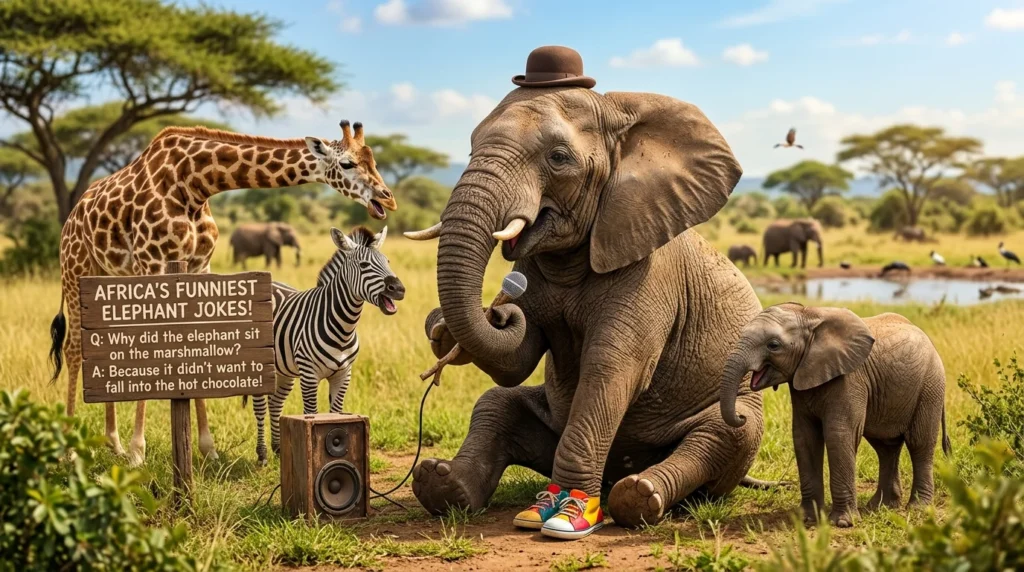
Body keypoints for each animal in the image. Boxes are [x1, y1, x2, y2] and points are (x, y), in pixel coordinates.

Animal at [404, 86, 770, 529]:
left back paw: (639, 495)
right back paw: (440, 485)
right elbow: (516, 363)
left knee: (725, 433)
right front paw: (442, 330)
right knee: (495, 404)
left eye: (559, 158)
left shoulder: (652, 273)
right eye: (471, 148)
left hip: (738, 417)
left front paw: (571, 511)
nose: (501, 310)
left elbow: (611, 368)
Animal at [719, 303, 950, 528]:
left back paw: (918, 508)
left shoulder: (849, 379)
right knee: (886, 448)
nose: (741, 417)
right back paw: (881, 507)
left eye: (773, 345)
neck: (808, 316)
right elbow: (804, 438)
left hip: (930, 386)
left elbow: (838, 435)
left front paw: (842, 523)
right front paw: (807, 520)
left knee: (919, 443)